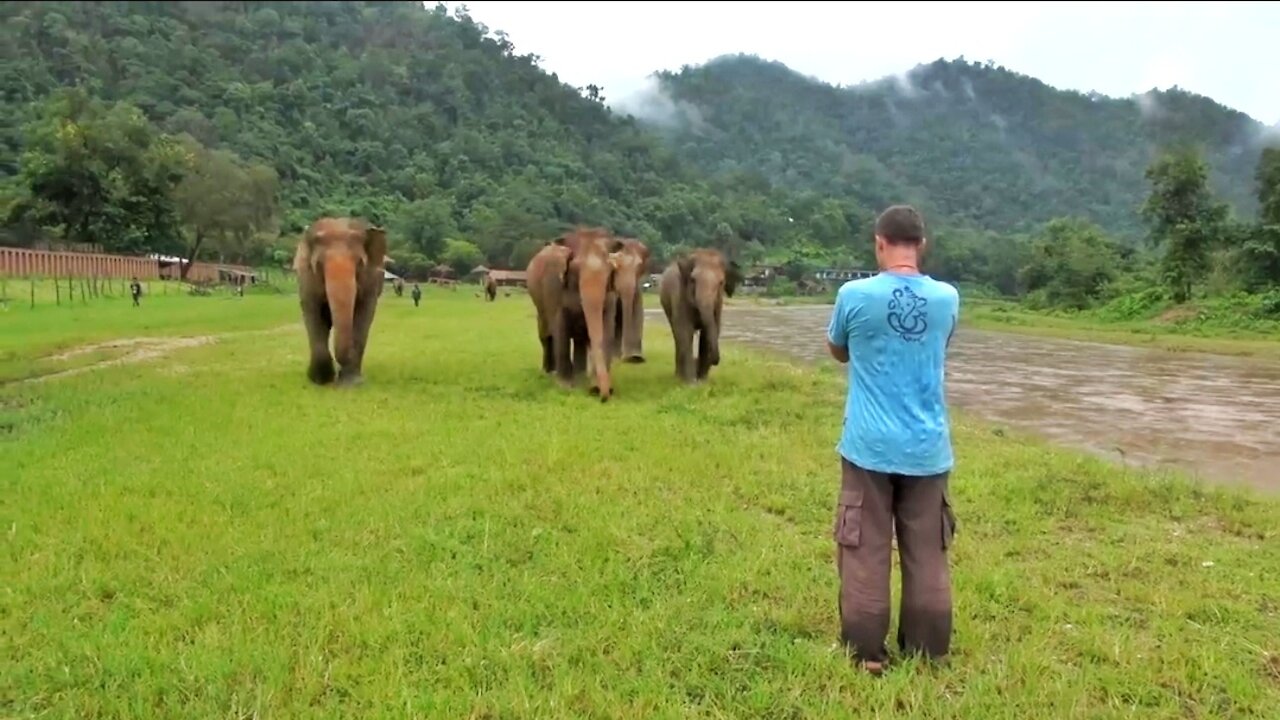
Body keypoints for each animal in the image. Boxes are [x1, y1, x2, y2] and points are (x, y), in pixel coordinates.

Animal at [293, 215, 386, 384]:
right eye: (319, 264)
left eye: (360, 263)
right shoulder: (306, 278)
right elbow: (312, 312)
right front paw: (319, 380)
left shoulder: (372, 281)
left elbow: (364, 315)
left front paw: (352, 383)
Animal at [524, 225, 624, 397]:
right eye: (576, 269)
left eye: (610, 270)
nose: (602, 394)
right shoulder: (554, 289)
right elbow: (560, 328)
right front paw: (565, 386)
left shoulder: (611, 294)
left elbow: (607, 330)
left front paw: (594, 385)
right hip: (538, 301)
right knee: (546, 334)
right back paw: (549, 372)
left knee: (579, 340)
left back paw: (580, 375)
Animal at [660, 245, 742, 381]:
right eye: (693, 280)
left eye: (721, 283)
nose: (715, 361)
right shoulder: (680, 297)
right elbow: (684, 330)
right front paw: (691, 382)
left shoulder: (718, 305)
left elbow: (709, 332)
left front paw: (702, 380)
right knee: (676, 334)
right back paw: (678, 376)